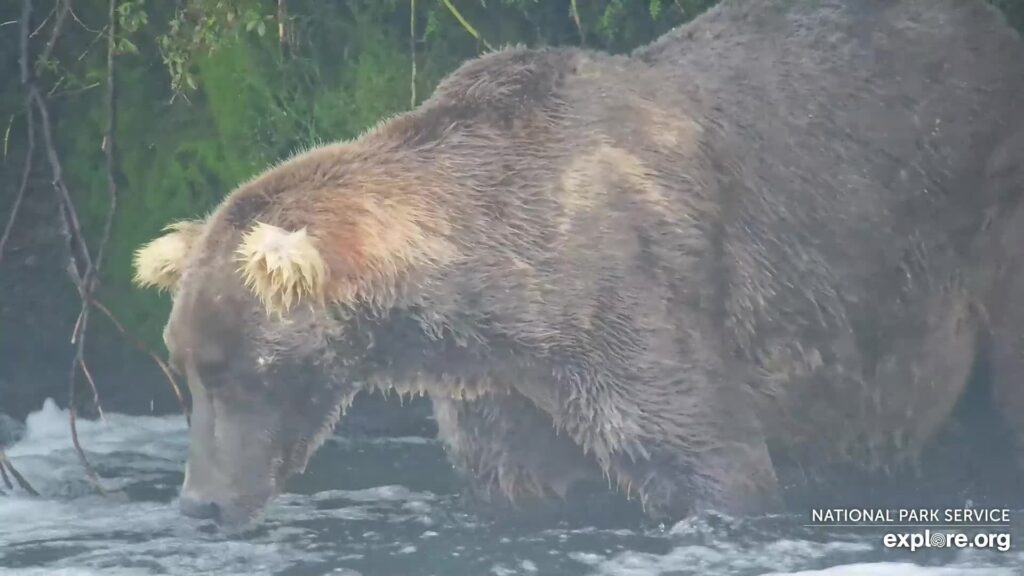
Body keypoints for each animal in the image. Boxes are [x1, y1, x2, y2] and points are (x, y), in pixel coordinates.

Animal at [136, 0, 1024, 528]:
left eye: (234, 368)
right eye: (183, 366)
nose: (199, 504)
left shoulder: (631, 303)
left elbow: (711, 457)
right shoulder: (504, 385)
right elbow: (521, 476)